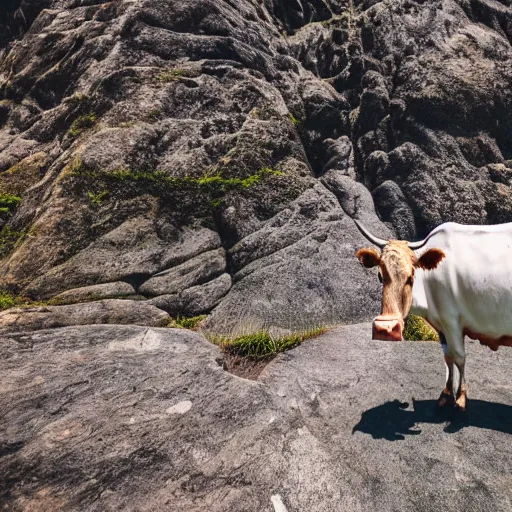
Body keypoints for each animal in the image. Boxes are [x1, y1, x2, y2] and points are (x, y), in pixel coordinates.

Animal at [354, 220, 512, 412]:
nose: (385, 328)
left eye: (411, 277)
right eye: (380, 276)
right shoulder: (441, 325)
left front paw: (461, 397)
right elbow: (448, 356)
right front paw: (446, 394)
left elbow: (459, 356)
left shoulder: (451, 320)